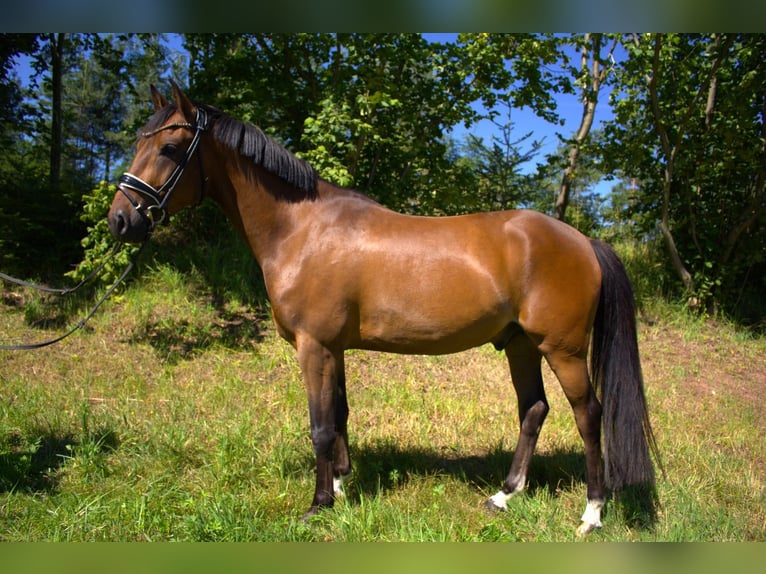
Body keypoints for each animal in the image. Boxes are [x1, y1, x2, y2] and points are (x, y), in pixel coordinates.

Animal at [106, 83, 660, 536]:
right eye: (138, 142)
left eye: (169, 148)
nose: (120, 221)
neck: (303, 230)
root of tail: (583, 241)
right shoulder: (333, 348)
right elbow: (339, 415)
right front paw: (342, 487)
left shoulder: (313, 346)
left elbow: (319, 424)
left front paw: (318, 504)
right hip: (520, 344)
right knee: (534, 409)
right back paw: (504, 495)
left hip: (562, 349)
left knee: (588, 415)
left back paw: (592, 513)